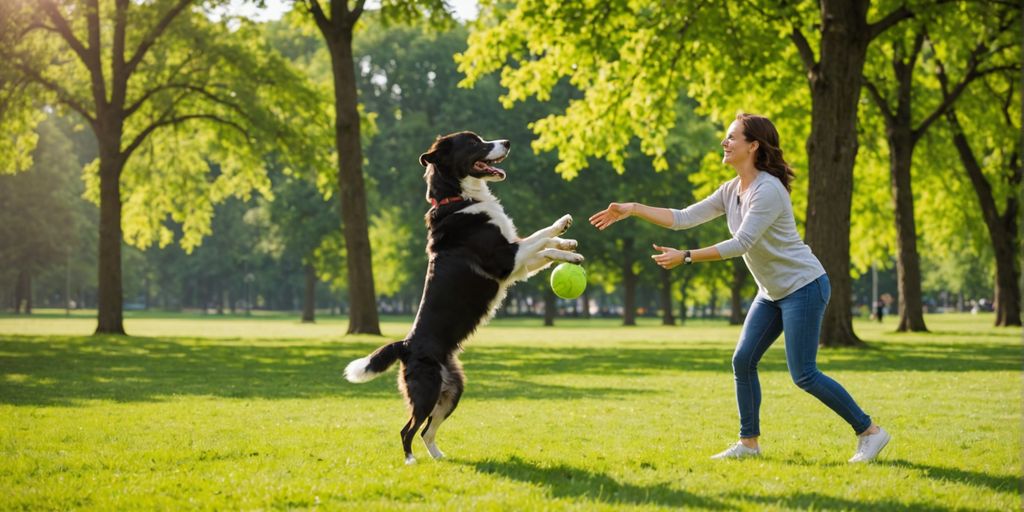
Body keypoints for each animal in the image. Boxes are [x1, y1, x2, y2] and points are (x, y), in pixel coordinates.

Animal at [344, 131, 585, 464]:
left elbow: (544, 245)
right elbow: (540, 239)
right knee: (408, 429)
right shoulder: (506, 259)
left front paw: (568, 243)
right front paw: (565, 238)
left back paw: (440, 458)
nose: (507, 142)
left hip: (453, 390)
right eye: (473, 143)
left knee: (426, 431)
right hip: (427, 391)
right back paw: (410, 461)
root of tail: (406, 345)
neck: (457, 199)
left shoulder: (518, 267)